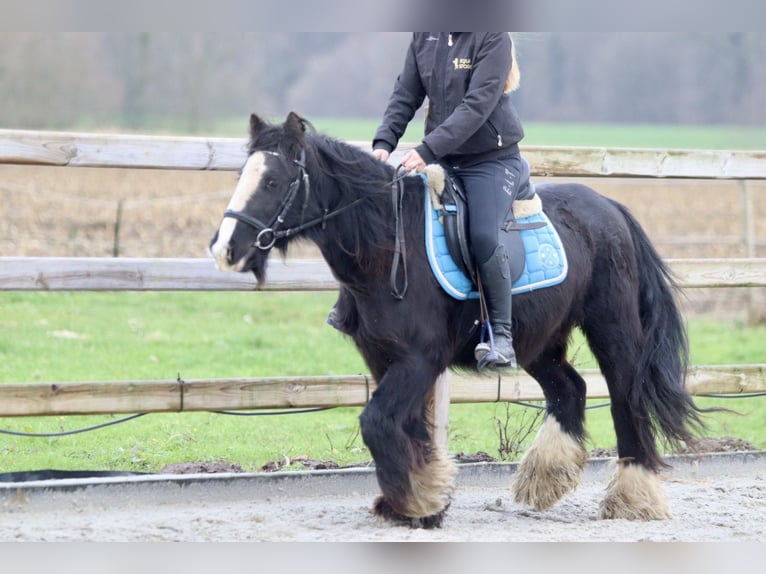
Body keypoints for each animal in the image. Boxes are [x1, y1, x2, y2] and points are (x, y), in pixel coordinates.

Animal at [210, 112, 708, 532]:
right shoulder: (384, 358)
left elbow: (377, 422)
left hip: (612, 329)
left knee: (625, 395)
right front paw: (420, 501)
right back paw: (545, 479)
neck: (390, 245)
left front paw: (418, 500)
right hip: (537, 342)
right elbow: (403, 426)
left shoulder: (419, 359)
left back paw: (633, 496)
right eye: (240, 176)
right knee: (570, 389)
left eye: (273, 180)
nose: (225, 249)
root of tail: (609, 207)